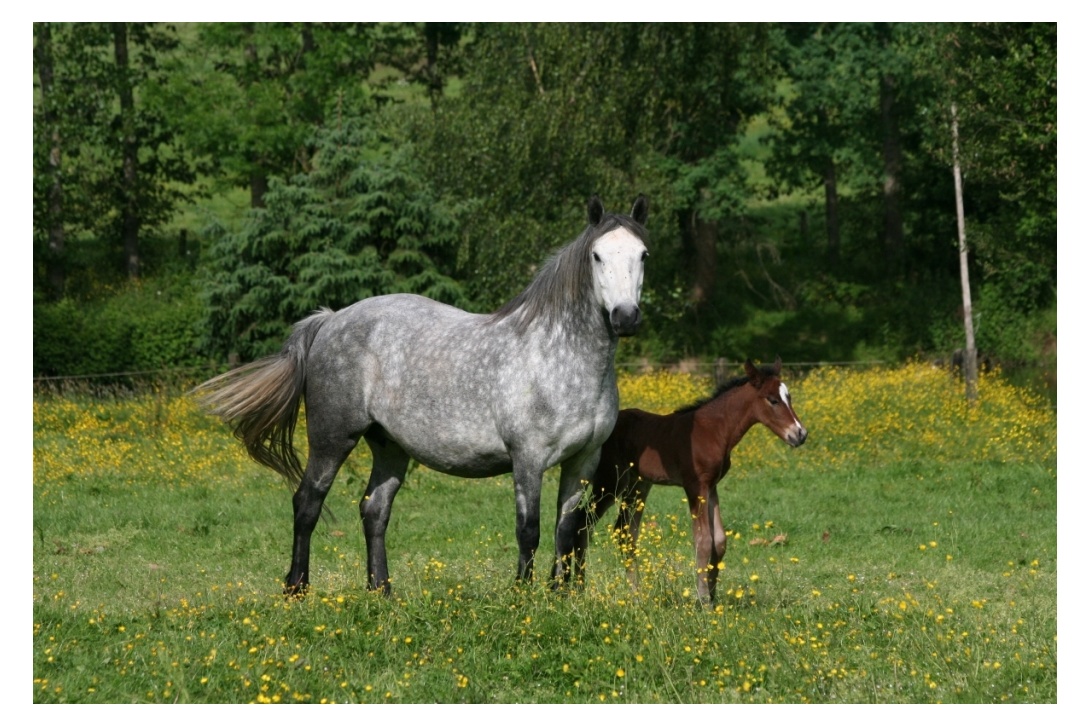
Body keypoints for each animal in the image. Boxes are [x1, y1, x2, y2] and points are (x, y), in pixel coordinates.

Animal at [195, 195, 645, 597]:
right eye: (597, 256)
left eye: (643, 255)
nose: (625, 317)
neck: (558, 358)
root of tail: (331, 320)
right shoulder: (528, 460)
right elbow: (528, 531)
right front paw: (522, 597)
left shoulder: (582, 461)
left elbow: (566, 530)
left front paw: (558, 598)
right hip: (331, 439)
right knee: (307, 504)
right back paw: (296, 590)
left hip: (390, 446)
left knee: (374, 511)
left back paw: (381, 592)